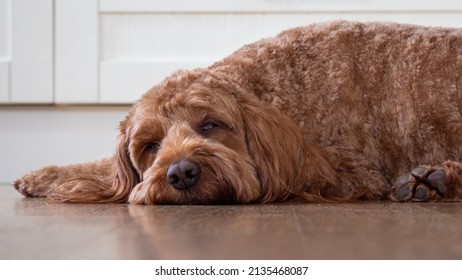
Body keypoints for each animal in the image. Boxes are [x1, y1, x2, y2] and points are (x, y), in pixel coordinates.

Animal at [12, 19, 462, 203]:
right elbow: (102, 166)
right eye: (150, 146)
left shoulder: (351, 169)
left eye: (211, 125)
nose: (181, 172)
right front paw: (46, 176)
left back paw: (433, 181)